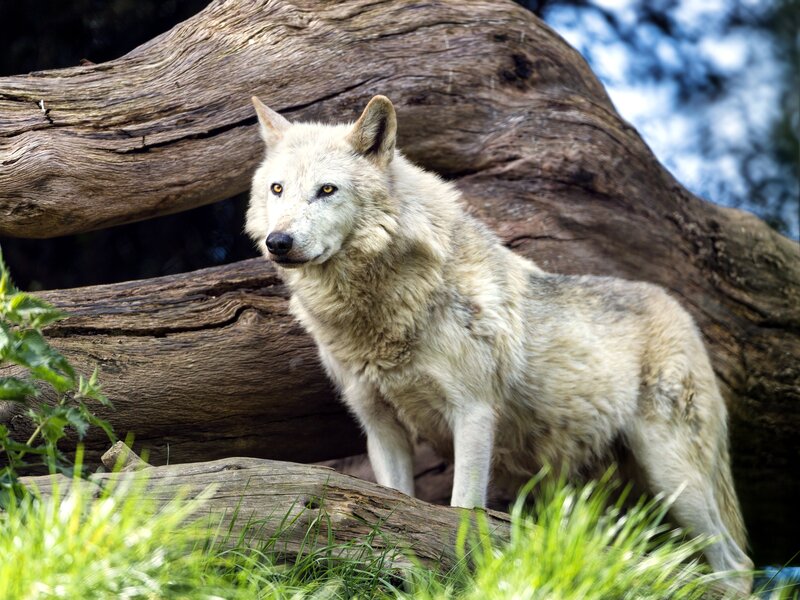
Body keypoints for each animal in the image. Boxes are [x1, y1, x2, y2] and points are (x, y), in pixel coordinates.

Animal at [246, 95, 753, 591]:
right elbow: (394, 506)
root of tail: (683, 314)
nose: (279, 241)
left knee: (738, 567)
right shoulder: (381, 426)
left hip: (673, 479)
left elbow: (461, 513)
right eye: (277, 189)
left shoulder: (473, 414)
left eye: (327, 190)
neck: (385, 307)